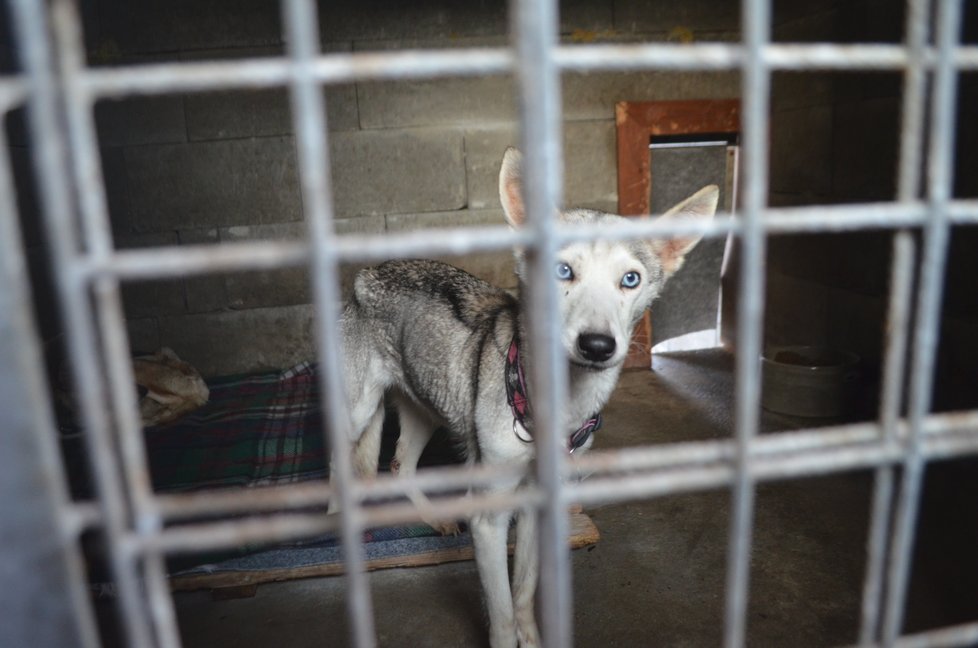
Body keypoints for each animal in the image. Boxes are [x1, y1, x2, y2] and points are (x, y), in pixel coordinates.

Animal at [340, 148, 712, 648]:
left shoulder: (538, 509)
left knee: (399, 466)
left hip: (426, 410)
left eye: (630, 280)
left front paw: (533, 637)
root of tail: (368, 273)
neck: (559, 406)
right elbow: (499, 614)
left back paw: (435, 519)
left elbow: (524, 594)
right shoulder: (489, 520)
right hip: (356, 414)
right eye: (562, 271)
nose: (598, 345)